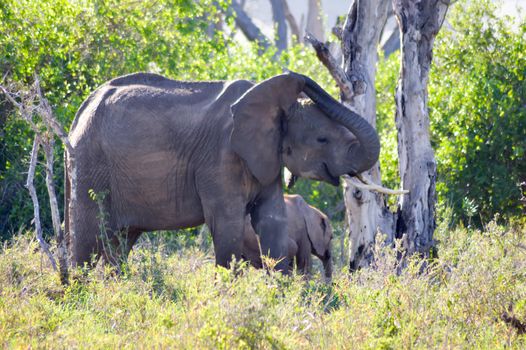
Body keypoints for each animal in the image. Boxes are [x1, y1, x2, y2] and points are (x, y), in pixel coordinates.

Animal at [65, 71, 380, 272]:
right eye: (322, 140)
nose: (298, 76)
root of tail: (81, 111)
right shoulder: (220, 157)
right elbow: (227, 224)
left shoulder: (265, 157)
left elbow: (272, 220)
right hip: (92, 165)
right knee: (87, 239)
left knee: (120, 243)